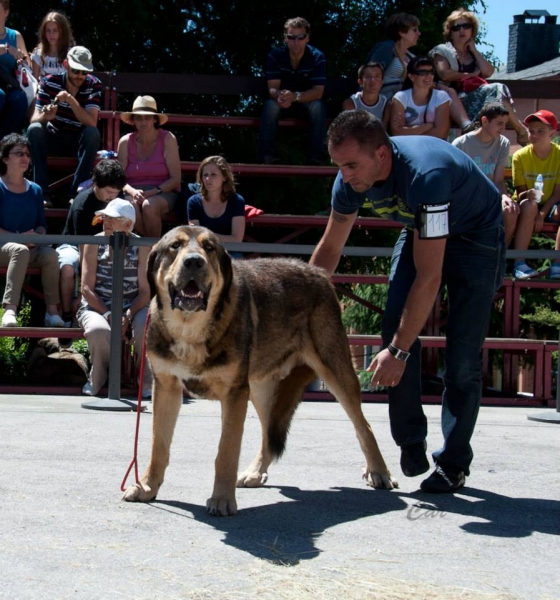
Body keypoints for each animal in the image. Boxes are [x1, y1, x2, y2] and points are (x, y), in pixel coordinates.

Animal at [123, 226, 394, 516]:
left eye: (209, 248)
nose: (194, 262)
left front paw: (222, 499)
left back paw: (379, 472)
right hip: (261, 390)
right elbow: (158, 446)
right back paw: (255, 472)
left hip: (336, 372)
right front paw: (147, 487)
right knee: (268, 432)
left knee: (363, 425)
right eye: (175, 246)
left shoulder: (234, 395)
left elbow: (226, 451)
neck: (189, 329)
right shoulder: (167, 387)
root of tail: (317, 272)